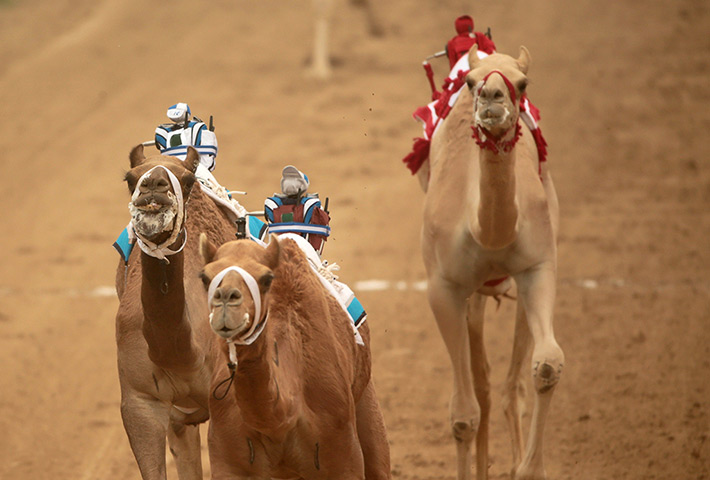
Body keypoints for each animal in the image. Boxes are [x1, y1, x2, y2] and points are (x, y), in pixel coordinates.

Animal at [197, 234, 392, 478]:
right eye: (205, 277)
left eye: (266, 278)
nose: (225, 298)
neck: (280, 421)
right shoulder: (230, 465)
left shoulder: (344, 460)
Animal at [422, 46, 568, 480]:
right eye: (470, 83)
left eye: (523, 83)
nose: (491, 97)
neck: (486, 232)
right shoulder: (443, 289)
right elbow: (462, 415)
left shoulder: (538, 267)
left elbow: (547, 366)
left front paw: (528, 468)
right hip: (471, 295)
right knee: (482, 384)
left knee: (508, 384)